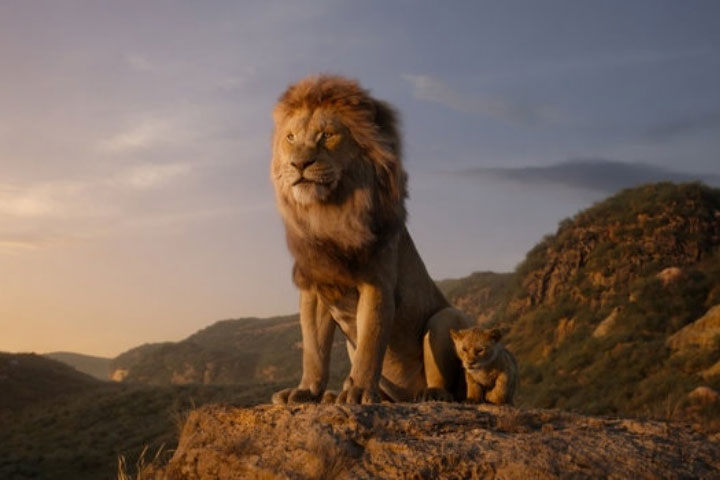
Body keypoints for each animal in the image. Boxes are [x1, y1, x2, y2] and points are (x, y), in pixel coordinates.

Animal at [270, 74, 472, 405]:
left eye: (327, 135)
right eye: (290, 138)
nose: (298, 164)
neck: (329, 212)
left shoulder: (377, 284)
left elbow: (370, 343)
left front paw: (359, 392)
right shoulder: (315, 288)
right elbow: (314, 350)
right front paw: (306, 391)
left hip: (445, 318)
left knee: (447, 382)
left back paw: (430, 394)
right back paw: (335, 395)